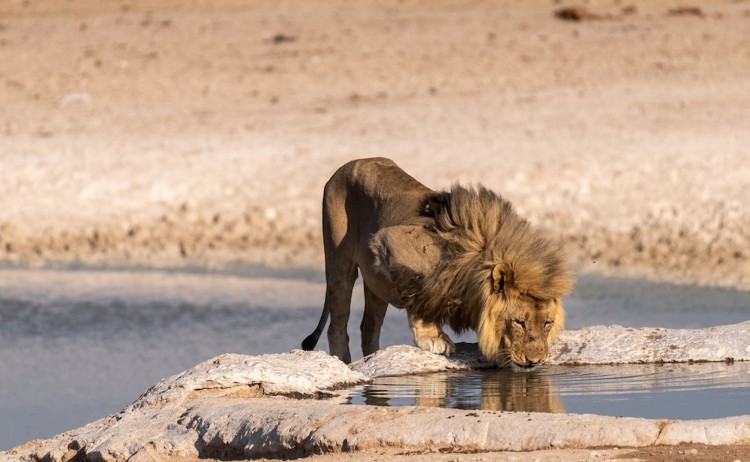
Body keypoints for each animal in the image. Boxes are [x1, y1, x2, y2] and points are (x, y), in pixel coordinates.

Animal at [302, 158, 573, 368]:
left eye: (547, 323)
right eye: (519, 322)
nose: (535, 362)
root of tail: (350, 163)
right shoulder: (393, 243)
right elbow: (420, 294)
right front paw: (434, 339)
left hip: (375, 284)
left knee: (369, 327)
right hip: (340, 264)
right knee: (337, 326)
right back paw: (344, 363)